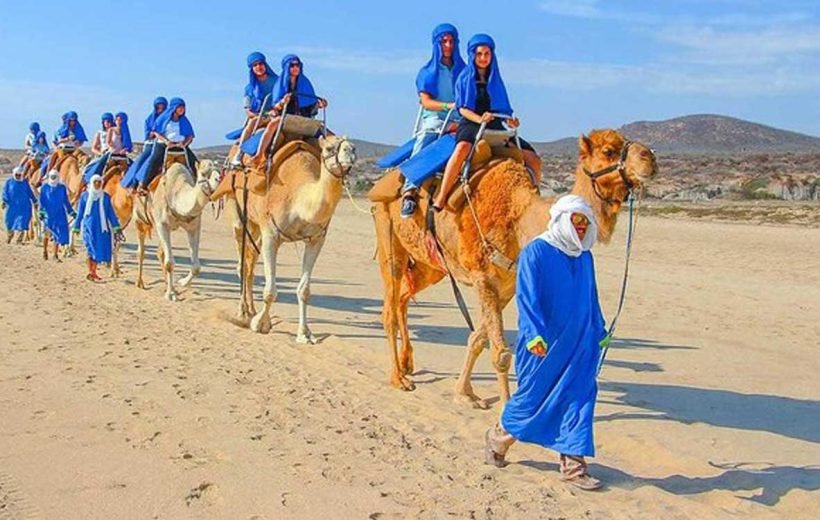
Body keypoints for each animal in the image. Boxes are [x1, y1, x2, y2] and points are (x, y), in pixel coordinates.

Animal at [135, 157, 223, 300]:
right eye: (203, 173)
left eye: (220, 171)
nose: (219, 179)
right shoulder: (162, 225)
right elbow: (169, 263)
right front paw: (170, 294)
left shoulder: (193, 227)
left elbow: (196, 266)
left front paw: (181, 283)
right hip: (140, 220)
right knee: (141, 251)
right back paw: (139, 282)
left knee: (160, 252)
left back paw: (167, 285)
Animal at [374, 130, 656, 406]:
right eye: (608, 151)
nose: (650, 158)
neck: (519, 219)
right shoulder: (484, 277)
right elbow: (500, 353)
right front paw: (504, 413)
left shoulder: (507, 284)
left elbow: (478, 339)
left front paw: (464, 393)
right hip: (388, 234)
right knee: (390, 306)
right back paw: (398, 378)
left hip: (433, 263)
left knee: (404, 296)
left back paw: (407, 363)